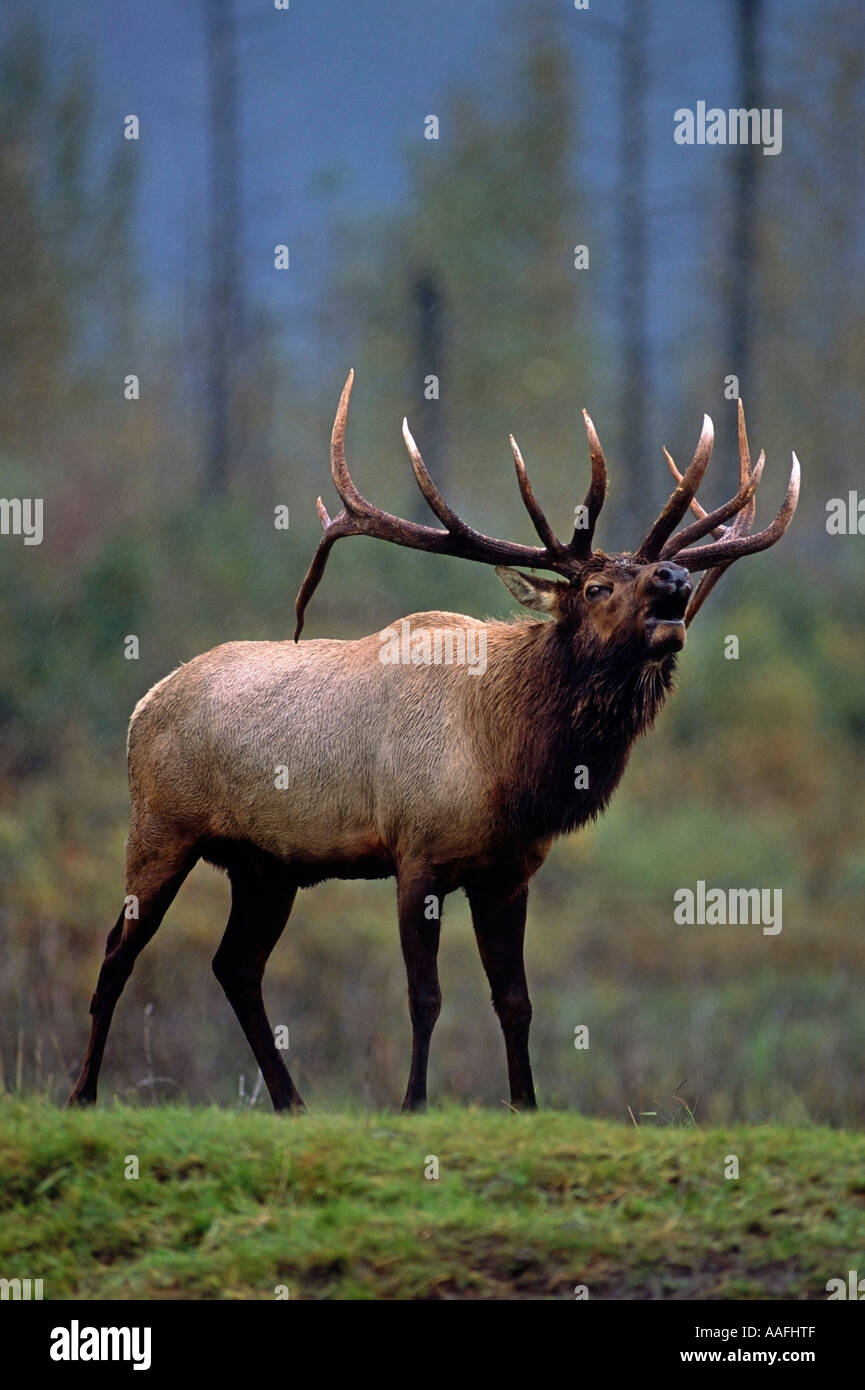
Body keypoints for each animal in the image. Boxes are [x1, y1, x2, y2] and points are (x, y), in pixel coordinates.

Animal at [68, 371, 799, 1114]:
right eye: (595, 586)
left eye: (659, 573)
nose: (675, 580)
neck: (506, 765)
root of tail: (143, 705)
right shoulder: (415, 853)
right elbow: (425, 998)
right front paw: (413, 1103)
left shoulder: (508, 871)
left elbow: (515, 1001)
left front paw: (525, 1105)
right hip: (161, 828)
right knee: (117, 952)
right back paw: (83, 1093)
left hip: (265, 865)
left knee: (235, 965)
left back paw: (291, 1102)